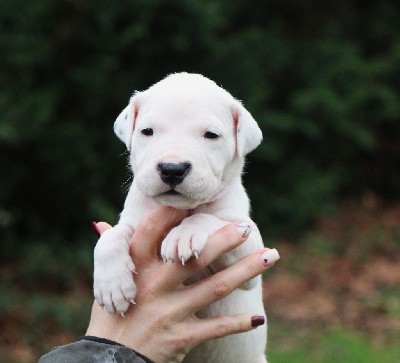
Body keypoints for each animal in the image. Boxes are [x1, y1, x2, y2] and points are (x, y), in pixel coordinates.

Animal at [93, 74, 268, 363]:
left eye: (211, 135)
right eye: (147, 131)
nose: (172, 169)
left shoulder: (249, 247)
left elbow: (208, 218)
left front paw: (184, 235)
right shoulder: (135, 221)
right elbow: (109, 238)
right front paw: (112, 285)